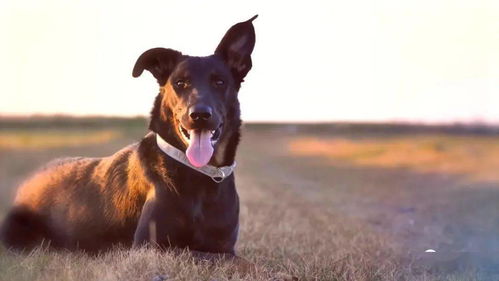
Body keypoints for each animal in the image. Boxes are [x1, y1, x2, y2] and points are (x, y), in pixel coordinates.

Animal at [0, 14, 258, 260]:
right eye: (180, 83)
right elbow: (231, 260)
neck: (200, 175)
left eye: (219, 82)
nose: (200, 115)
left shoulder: (224, 247)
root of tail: (26, 183)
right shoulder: (150, 247)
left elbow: (233, 259)